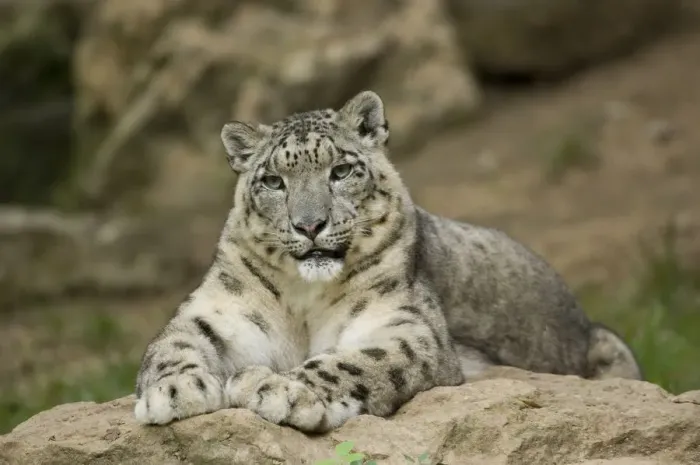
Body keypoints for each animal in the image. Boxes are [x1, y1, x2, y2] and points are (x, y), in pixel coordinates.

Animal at [134, 90, 643, 432]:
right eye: (274, 181)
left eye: (341, 171)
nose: (309, 225)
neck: (303, 300)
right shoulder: (220, 311)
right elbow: (172, 343)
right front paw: (173, 391)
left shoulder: (406, 327)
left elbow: (354, 361)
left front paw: (280, 389)